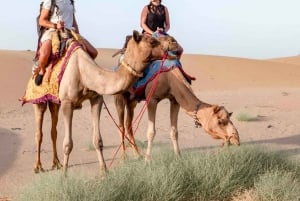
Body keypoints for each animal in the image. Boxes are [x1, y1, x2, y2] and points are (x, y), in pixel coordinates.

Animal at [21, 30, 178, 174]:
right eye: (152, 41)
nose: (173, 43)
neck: (83, 72)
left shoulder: (96, 100)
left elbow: (98, 140)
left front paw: (104, 172)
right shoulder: (67, 102)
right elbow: (67, 144)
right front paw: (64, 176)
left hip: (55, 103)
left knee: (53, 131)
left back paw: (57, 163)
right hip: (39, 101)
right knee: (39, 133)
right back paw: (38, 166)